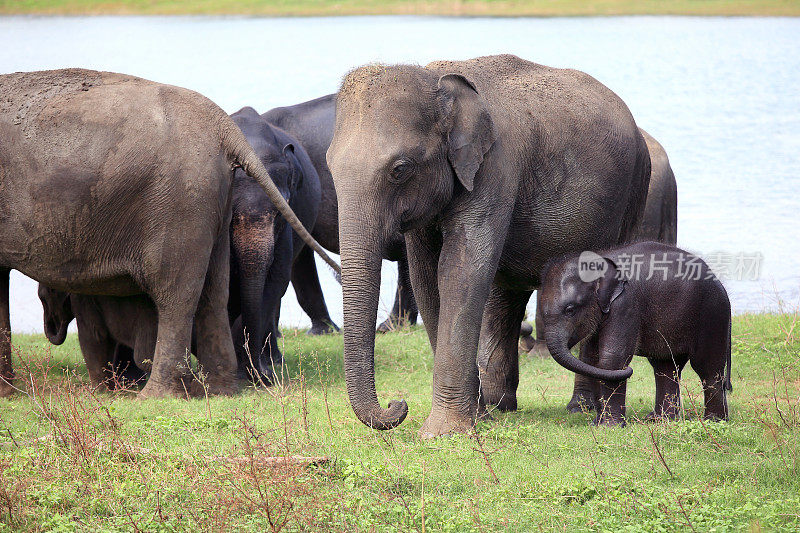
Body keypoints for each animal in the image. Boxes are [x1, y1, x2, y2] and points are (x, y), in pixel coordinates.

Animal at [227, 106, 320, 380]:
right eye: (229, 213)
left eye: (280, 211)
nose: (263, 376)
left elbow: (275, 280)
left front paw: (258, 371)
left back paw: (275, 360)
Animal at [324, 53, 648, 436]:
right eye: (328, 165)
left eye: (399, 169)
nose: (397, 404)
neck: (435, 79)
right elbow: (426, 277)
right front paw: (473, 419)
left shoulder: (495, 169)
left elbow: (459, 269)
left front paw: (443, 431)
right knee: (505, 296)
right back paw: (499, 406)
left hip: (634, 192)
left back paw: (579, 408)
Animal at [536, 241, 732, 424]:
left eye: (570, 310)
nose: (630, 370)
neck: (600, 259)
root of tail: (721, 285)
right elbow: (592, 360)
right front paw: (597, 423)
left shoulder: (626, 304)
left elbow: (612, 360)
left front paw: (610, 427)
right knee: (665, 367)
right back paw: (660, 420)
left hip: (712, 314)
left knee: (706, 367)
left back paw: (714, 421)